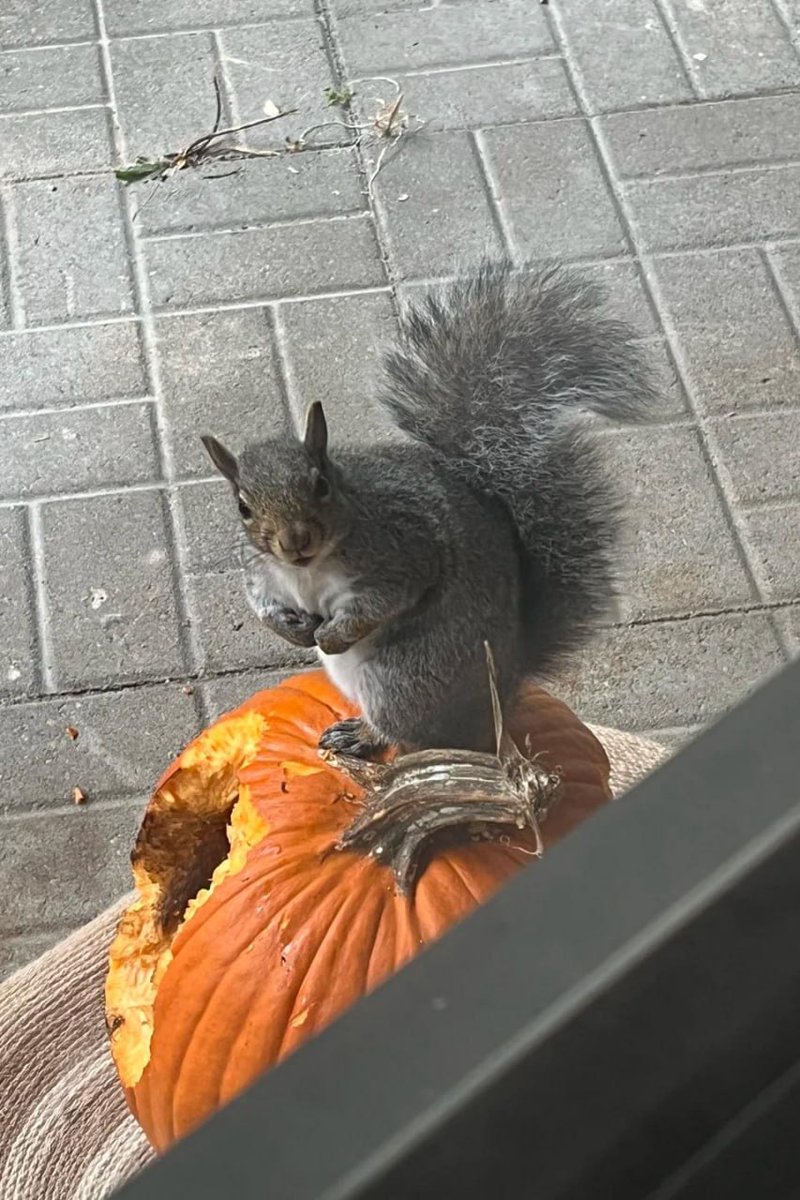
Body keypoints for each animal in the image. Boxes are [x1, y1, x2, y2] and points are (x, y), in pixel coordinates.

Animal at [201, 261, 658, 759]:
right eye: (243, 507)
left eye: (321, 485)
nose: (294, 541)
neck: (308, 569)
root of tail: (504, 689)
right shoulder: (262, 573)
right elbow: (263, 607)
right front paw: (296, 632)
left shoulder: (403, 553)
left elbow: (380, 604)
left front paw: (330, 635)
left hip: (403, 680)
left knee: (406, 733)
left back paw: (361, 734)